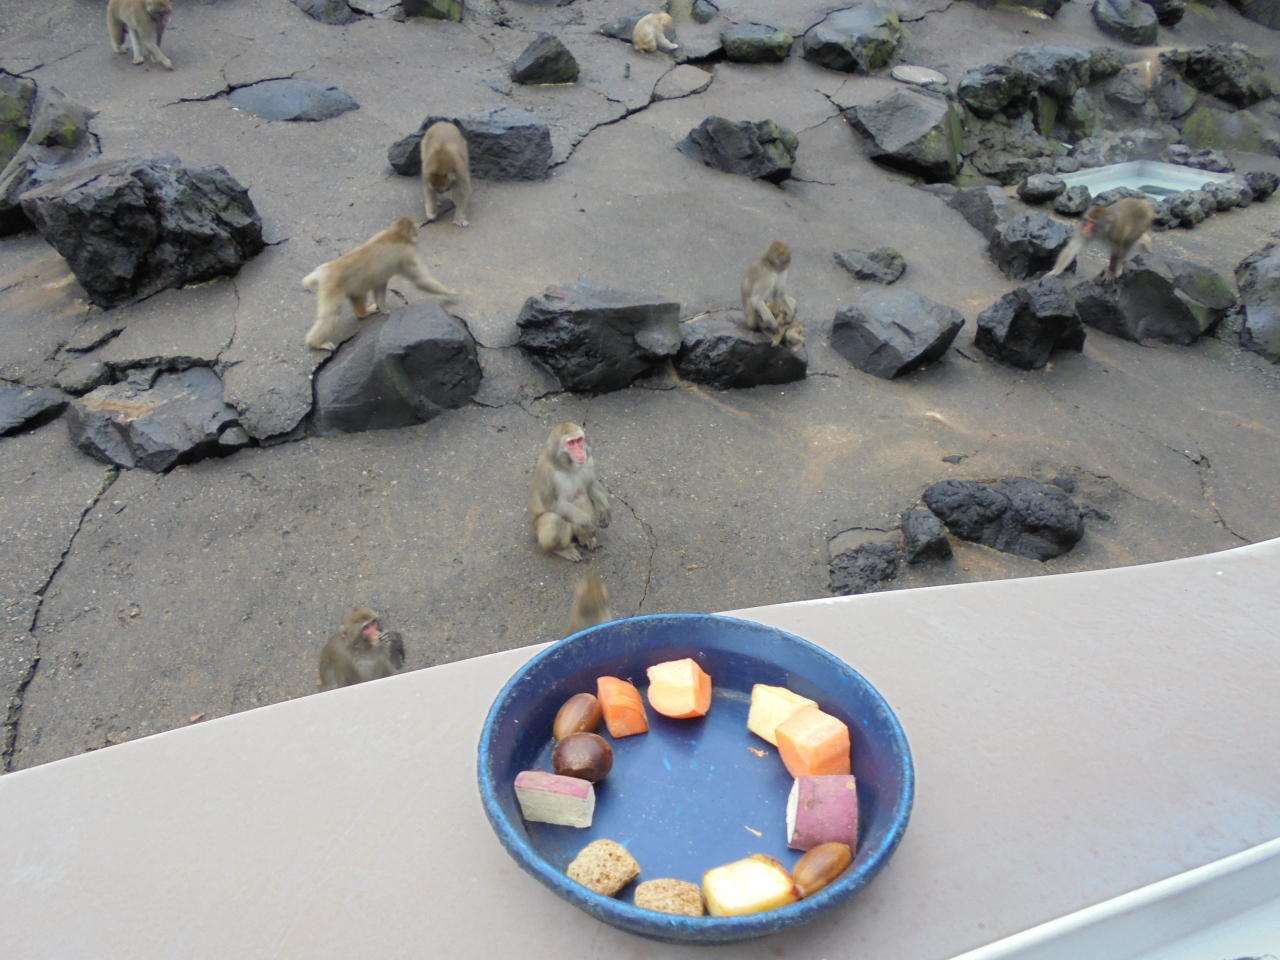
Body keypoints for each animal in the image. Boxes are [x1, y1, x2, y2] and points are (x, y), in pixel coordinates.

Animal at [302, 217, 456, 351]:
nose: (418, 232)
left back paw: (363, 313)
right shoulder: (407, 254)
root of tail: (325, 270)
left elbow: (380, 284)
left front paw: (383, 309)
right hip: (332, 288)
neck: (396, 234)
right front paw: (449, 292)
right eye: (416, 229)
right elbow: (421, 280)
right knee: (330, 317)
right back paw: (316, 343)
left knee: (358, 295)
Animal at [528, 423, 611, 563]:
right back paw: (561, 549)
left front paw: (606, 510)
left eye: (579, 440)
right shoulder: (549, 474)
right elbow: (556, 505)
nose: (580, 451)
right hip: (538, 531)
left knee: (582, 496)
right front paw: (587, 523)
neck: (567, 466)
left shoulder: (588, 460)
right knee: (553, 518)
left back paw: (584, 538)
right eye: (571, 443)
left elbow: (590, 485)